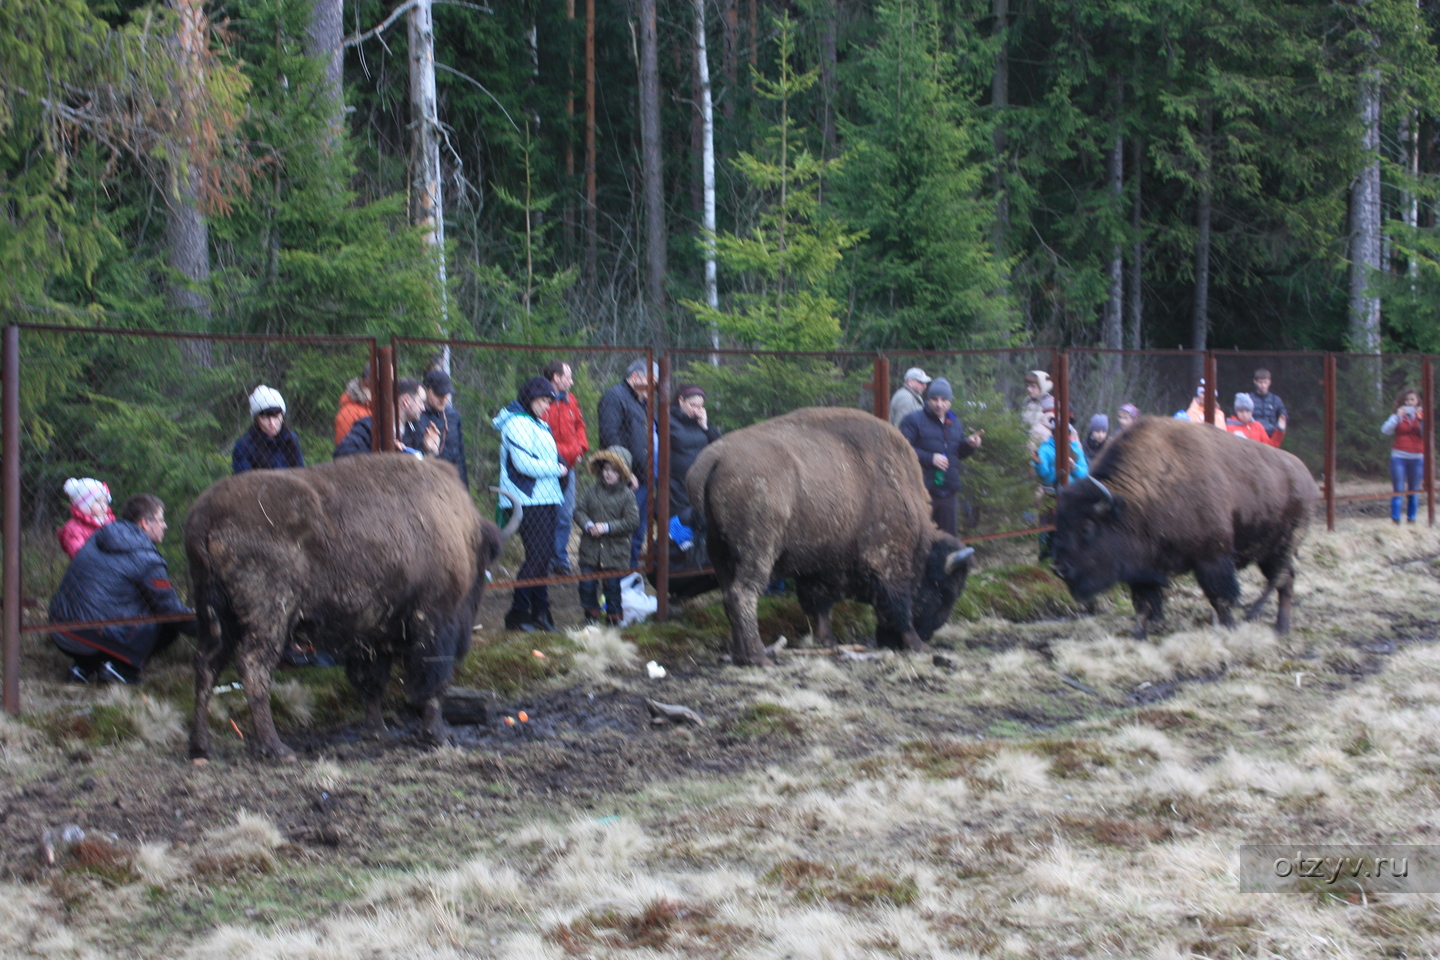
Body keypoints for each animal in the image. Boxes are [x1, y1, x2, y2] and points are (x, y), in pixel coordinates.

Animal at [182, 454, 515, 759]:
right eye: (483, 563)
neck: (459, 528)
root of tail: (204, 516)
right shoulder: (434, 624)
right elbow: (432, 681)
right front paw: (436, 734)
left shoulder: (372, 635)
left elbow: (371, 682)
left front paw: (378, 731)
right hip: (269, 618)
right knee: (254, 668)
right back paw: (276, 748)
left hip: (215, 616)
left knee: (206, 666)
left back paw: (201, 746)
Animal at [685, 408, 979, 667]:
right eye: (944, 591)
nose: (928, 632)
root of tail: (714, 459)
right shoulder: (887, 562)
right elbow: (898, 604)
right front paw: (918, 644)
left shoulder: (817, 566)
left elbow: (820, 605)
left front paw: (827, 642)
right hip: (757, 551)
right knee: (743, 595)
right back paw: (759, 657)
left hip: (720, 553)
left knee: (728, 596)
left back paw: (740, 655)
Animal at [1048, 417, 1319, 639]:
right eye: (1060, 521)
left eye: (1087, 527)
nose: (1059, 568)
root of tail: (1306, 476)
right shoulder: (1142, 569)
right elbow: (1144, 604)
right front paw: (1138, 635)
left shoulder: (1212, 558)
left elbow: (1220, 597)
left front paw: (1230, 627)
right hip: (1267, 552)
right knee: (1285, 580)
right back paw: (1281, 628)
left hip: (1282, 545)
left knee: (1280, 578)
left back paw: (1261, 618)